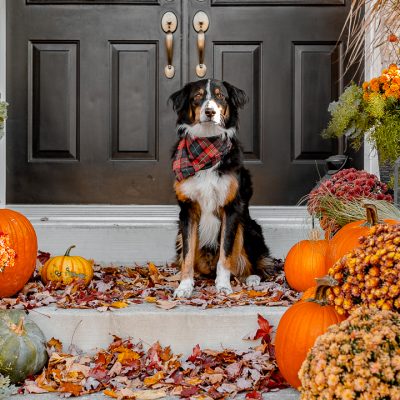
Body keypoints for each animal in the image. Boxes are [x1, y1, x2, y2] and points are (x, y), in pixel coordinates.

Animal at [169, 79, 276, 296]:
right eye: (197, 96)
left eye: (220, 96)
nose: (210, 112)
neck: (207, 145)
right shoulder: (187, 211)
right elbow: (187, 255)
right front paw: (185, 286)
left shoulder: (232, 208)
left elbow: (226, 254)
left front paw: (223, 285)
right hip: (178, 234)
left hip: (248, 227)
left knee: (254, 264)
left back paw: (252, 278)